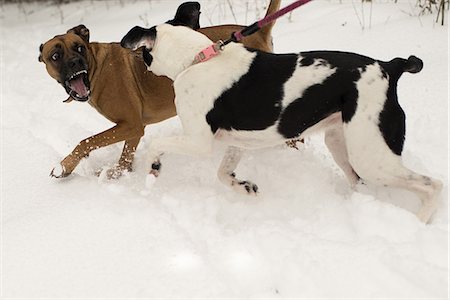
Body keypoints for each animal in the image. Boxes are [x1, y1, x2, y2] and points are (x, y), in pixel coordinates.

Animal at [38, 0, 280, 178]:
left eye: (79, 48)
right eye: (56, 56)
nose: (75, 63)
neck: (97, 67)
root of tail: (258, 32)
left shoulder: (130, 124)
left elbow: (87, 141)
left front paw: (64, 166)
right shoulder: (134, 129)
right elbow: (125, 157)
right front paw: (118, 173)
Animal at [122, 24, 442, 223]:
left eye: (143, 54)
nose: (140, 68)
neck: (198, 59)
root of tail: (391, 66)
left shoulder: (198, 141)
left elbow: (157, 145)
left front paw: (154, 168)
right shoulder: (238, 142)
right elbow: (223, 174)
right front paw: (245, 187)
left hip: (371, 156)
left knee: (433, 185)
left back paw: (418, 223)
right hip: (342, 144)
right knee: (360, 182)